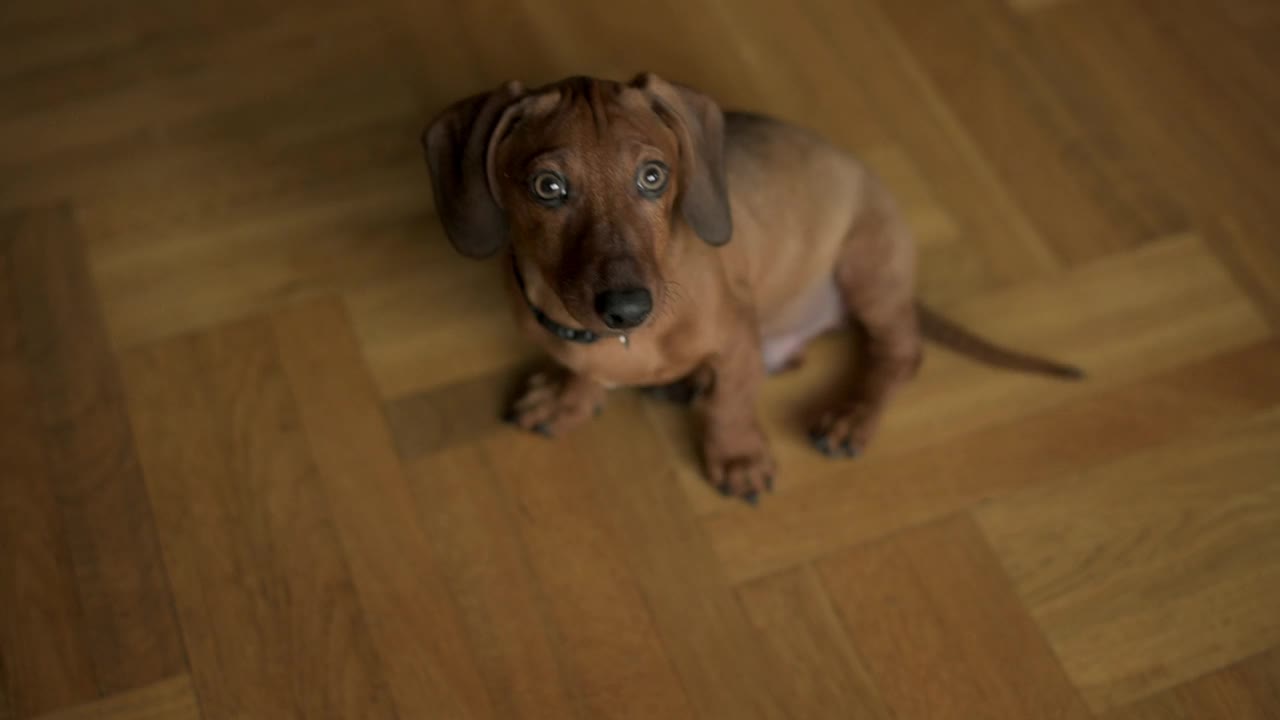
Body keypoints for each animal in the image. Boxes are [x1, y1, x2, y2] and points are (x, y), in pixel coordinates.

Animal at [427, 71, 1080, 499]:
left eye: (653, 176)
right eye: (548, 187)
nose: (627, 308)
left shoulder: (738, 338)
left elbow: (731, 402)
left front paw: (738, 455)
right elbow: (583, 370)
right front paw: (570, 397)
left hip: (866, 269)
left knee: (901, 353)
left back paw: (852, 416)